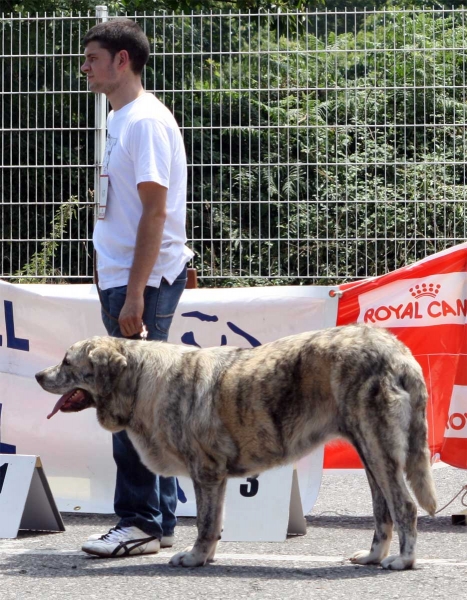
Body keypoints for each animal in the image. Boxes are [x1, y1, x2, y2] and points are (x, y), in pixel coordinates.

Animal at [36, 324, 438, 572]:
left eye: (68, 362)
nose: (39, 375)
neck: (139, 379)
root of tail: (398, 351)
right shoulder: (215, 477)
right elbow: (214, 523)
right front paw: (206, 556)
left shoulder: (205, 472)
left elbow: (204, 522)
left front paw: (194, 557)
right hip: (370, 452)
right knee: (383, 512)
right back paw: (373, 555)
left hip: (377, 447)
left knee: (403, 506)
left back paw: (403, 561)